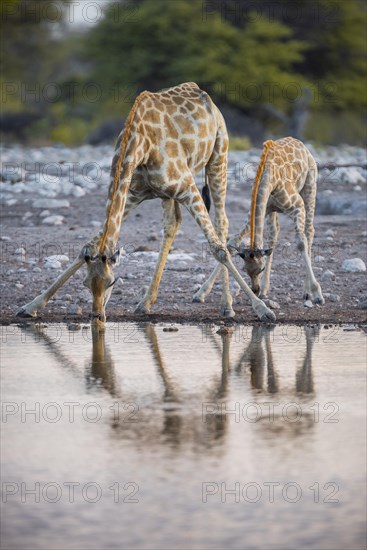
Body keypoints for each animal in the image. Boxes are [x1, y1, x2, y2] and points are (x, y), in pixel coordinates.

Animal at [17, 82, 276, 328]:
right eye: (86, 283)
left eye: (111, 282)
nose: (97, 316)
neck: (139, 145)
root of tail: (203, 93)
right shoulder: (133, 194)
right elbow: (88, 246)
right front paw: (31, 306)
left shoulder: (187, 187)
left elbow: (217, 249)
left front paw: (263, 310)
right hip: (167, 193)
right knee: (173, 224)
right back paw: (145, 302)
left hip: (218, 157)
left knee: (222, 223)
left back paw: (226, 305)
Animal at [194, 135, 326, 306]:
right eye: (245, 269)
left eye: (261, 269)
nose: (255, 290)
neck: (268, 178)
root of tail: (302, 144)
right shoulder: (259, 209)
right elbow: (232, 244)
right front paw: (201, 292)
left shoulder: (298, 206)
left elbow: (300, 243)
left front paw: (317, 292)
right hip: (272, 211)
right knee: (273, 234)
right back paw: (265, 289)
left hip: (309, 188)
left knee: (309, 232)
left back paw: (307, 291)